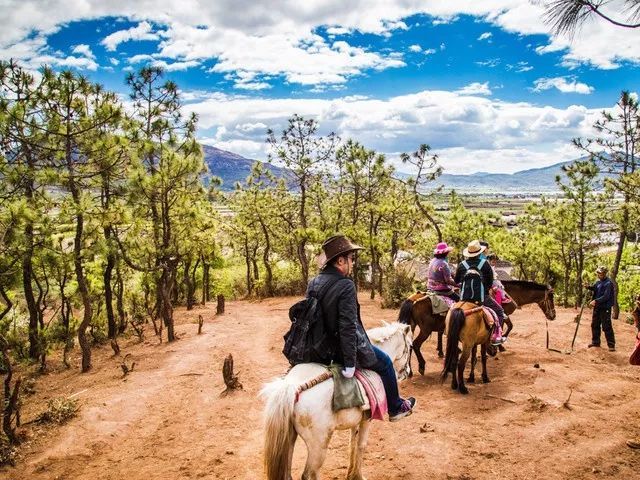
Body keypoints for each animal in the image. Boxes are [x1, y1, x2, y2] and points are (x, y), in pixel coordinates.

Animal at [262, 320, 412, 480]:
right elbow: (361, 445)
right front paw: (358, 475)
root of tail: (293, 386)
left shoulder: (358, 420)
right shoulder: (367, 419)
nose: (407, 373)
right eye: (410, 347)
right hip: (319, 445)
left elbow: (352, 443)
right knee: (309, 474)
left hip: (289, 438)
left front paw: (351, 474)